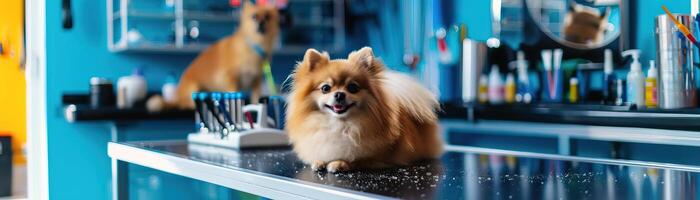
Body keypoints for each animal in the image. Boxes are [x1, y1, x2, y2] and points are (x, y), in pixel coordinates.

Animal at [148, 1, 278, 111]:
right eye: (254, 17)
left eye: (268, 17)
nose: (261, 23)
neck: (255, 46)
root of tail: (178, 97)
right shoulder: (230, 78)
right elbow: (234, 94)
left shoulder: (256, 80)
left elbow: (255, 98)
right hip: (194, 88)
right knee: (184, 104)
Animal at [286, 46, 442, 172]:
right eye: (325, 88)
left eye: (352, 87)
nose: (339, 94)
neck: (340, 125)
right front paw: (319, 161)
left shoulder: (376, 156)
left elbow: (357, 159)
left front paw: (339, 163)